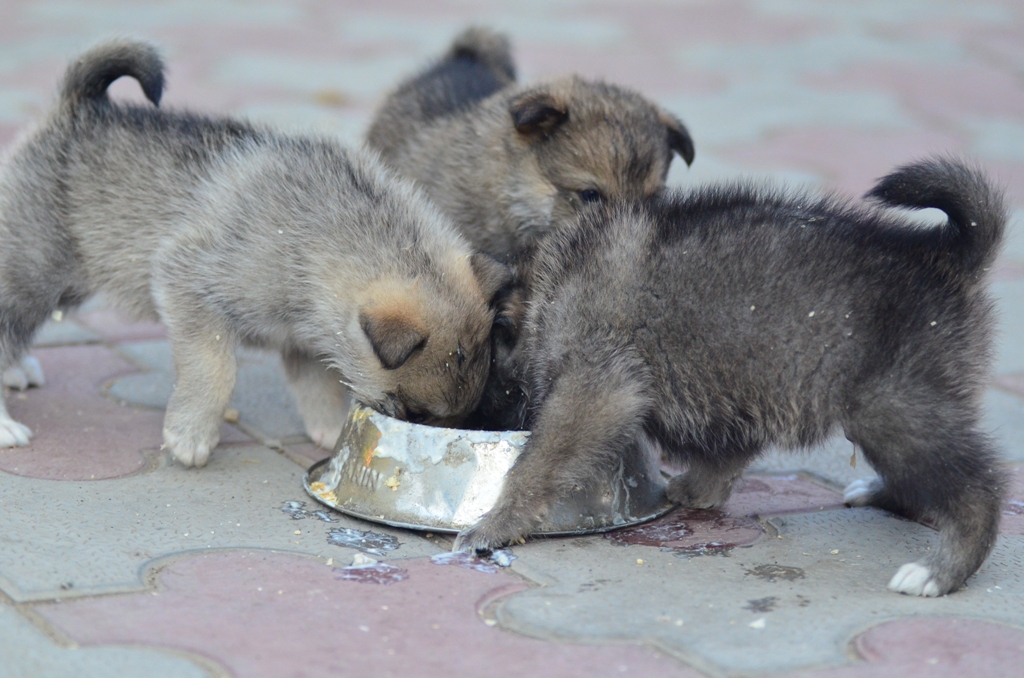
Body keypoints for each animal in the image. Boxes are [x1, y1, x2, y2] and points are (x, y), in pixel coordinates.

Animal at [0, 39, 510, 466]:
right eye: (409, 410)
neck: (317, 238)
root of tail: (76, 107)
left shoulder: (308, 339)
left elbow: (320, 387)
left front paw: (330, 433)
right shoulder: (188, 285)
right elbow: (215, 369)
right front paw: (191, 436)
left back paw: (17, 370)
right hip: (33, 270)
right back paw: (7, 423)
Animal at [455, 158, 1007, 597]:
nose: (477, 421)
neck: (552, 286)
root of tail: (946, 257)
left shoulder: (595, 388)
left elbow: (537, 462)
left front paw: (495, 522)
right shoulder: (736, 397)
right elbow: (727, 454)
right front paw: (697, 489)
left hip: (891, 406)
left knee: (979, 488)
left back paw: (941, 571)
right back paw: (882, 496)